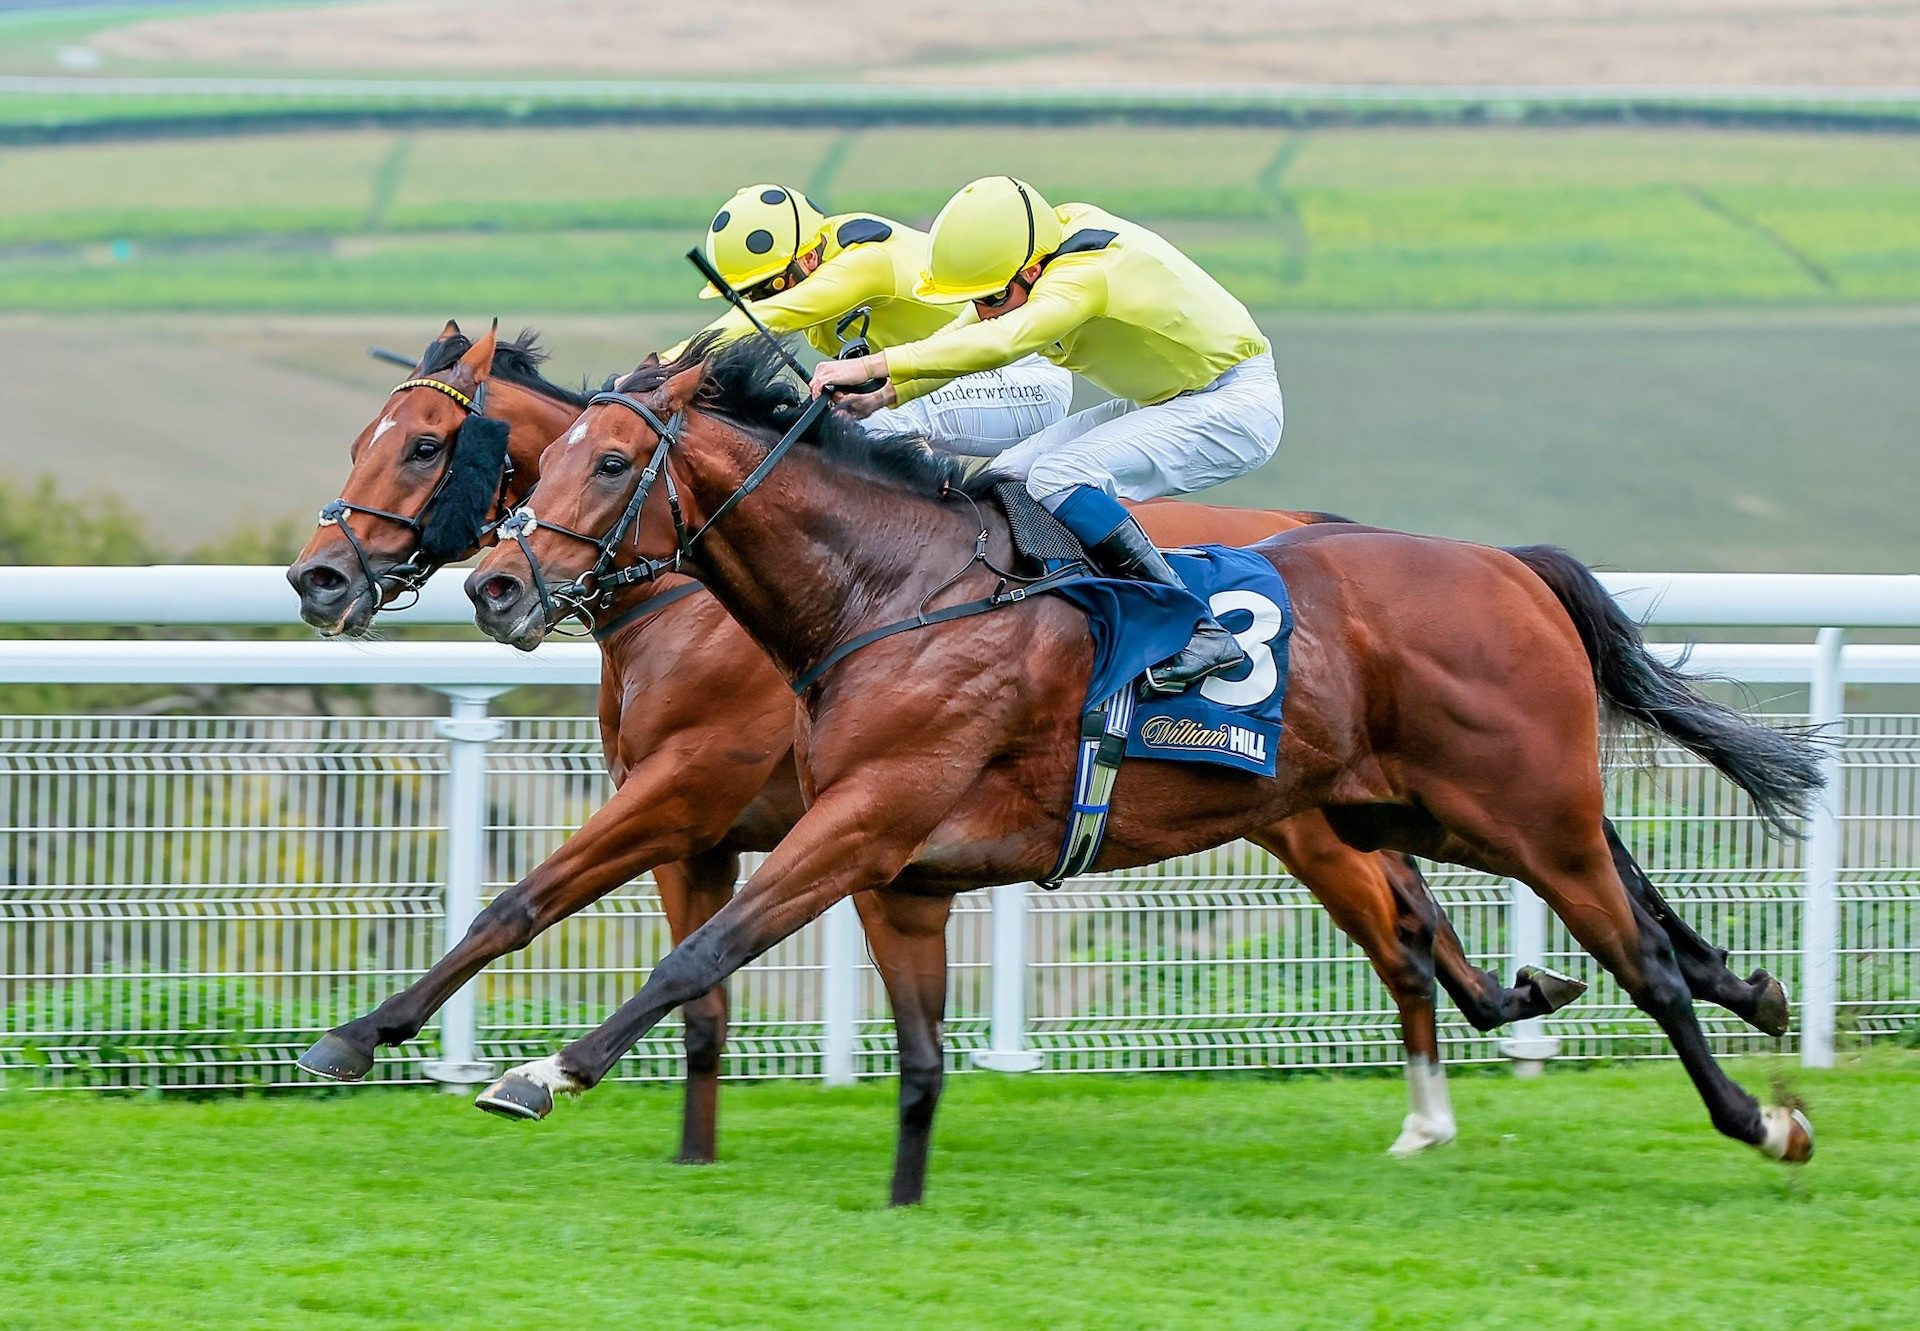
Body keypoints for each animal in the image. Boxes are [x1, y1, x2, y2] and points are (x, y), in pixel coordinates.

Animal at [460, 334, 1812, 1190]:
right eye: (546, 458)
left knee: (1634, 959)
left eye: (613, 462)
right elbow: (903, 1043)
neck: (888, 591)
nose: (495, 584)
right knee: (1557, 915)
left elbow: (700, 952)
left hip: (1518, 806)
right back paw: (1740, 992)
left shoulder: (849, 815)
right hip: (1422, 807)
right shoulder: (890, 857)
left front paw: (543, 1070)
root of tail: (1507, 565)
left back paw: (1761, 1117)